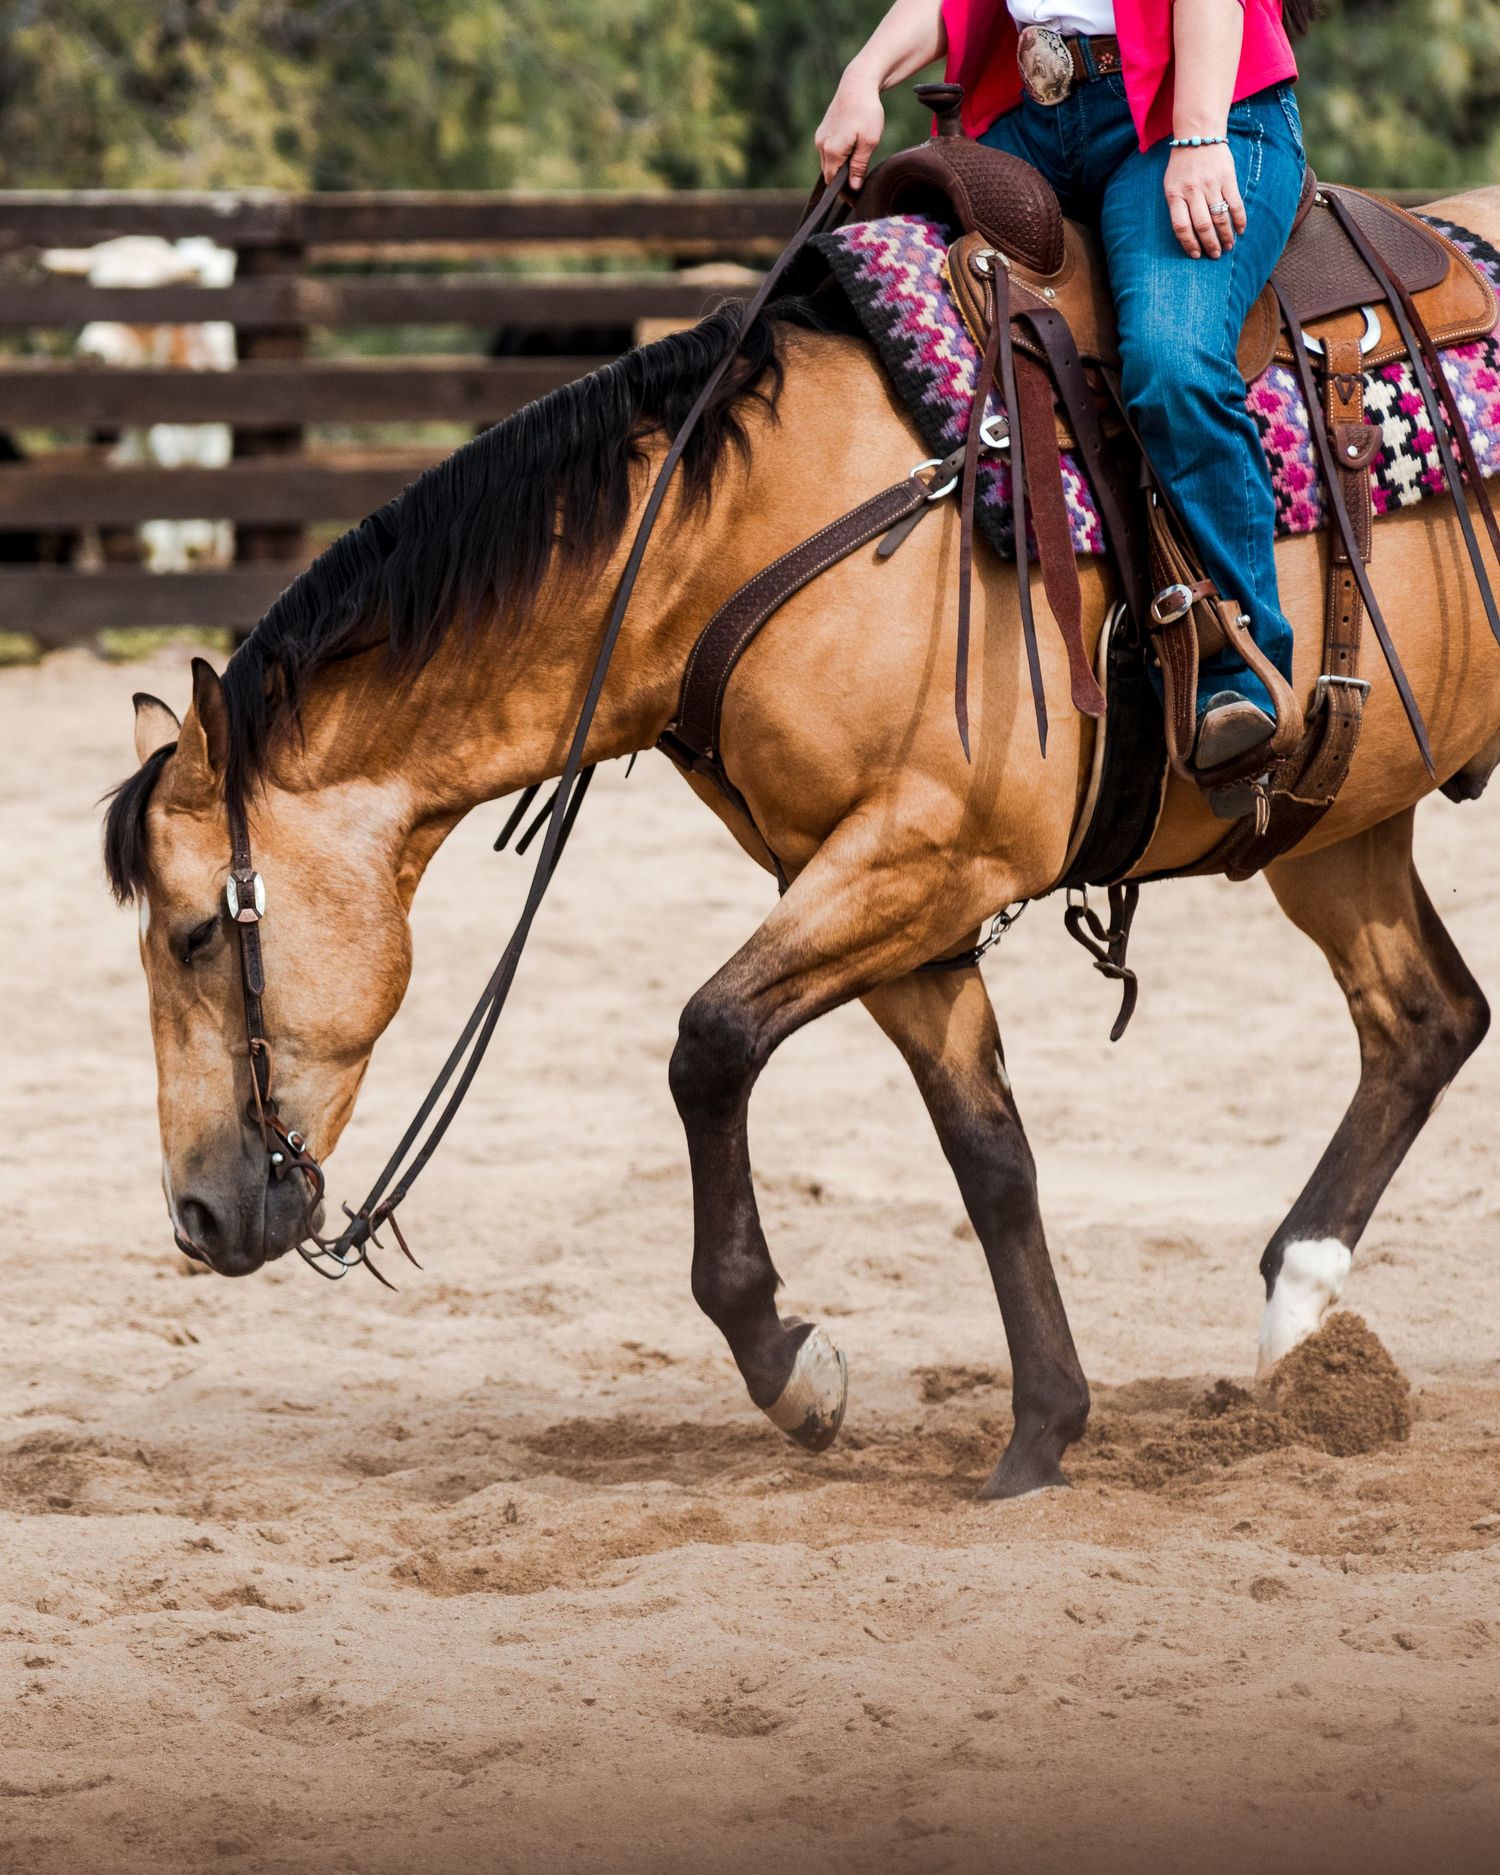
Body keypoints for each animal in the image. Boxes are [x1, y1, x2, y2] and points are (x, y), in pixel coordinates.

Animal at [105, 186, 1500, 1502]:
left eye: (195, 934)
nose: (197, 1215)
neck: (738, 535)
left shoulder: (921, 856)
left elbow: (711, 1043)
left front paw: (788, 1361)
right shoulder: (895, 895)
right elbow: (989, 1153)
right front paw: (1041, 1431)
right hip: (1336, 822)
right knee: (1424, 1020)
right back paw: (1302, 1330)